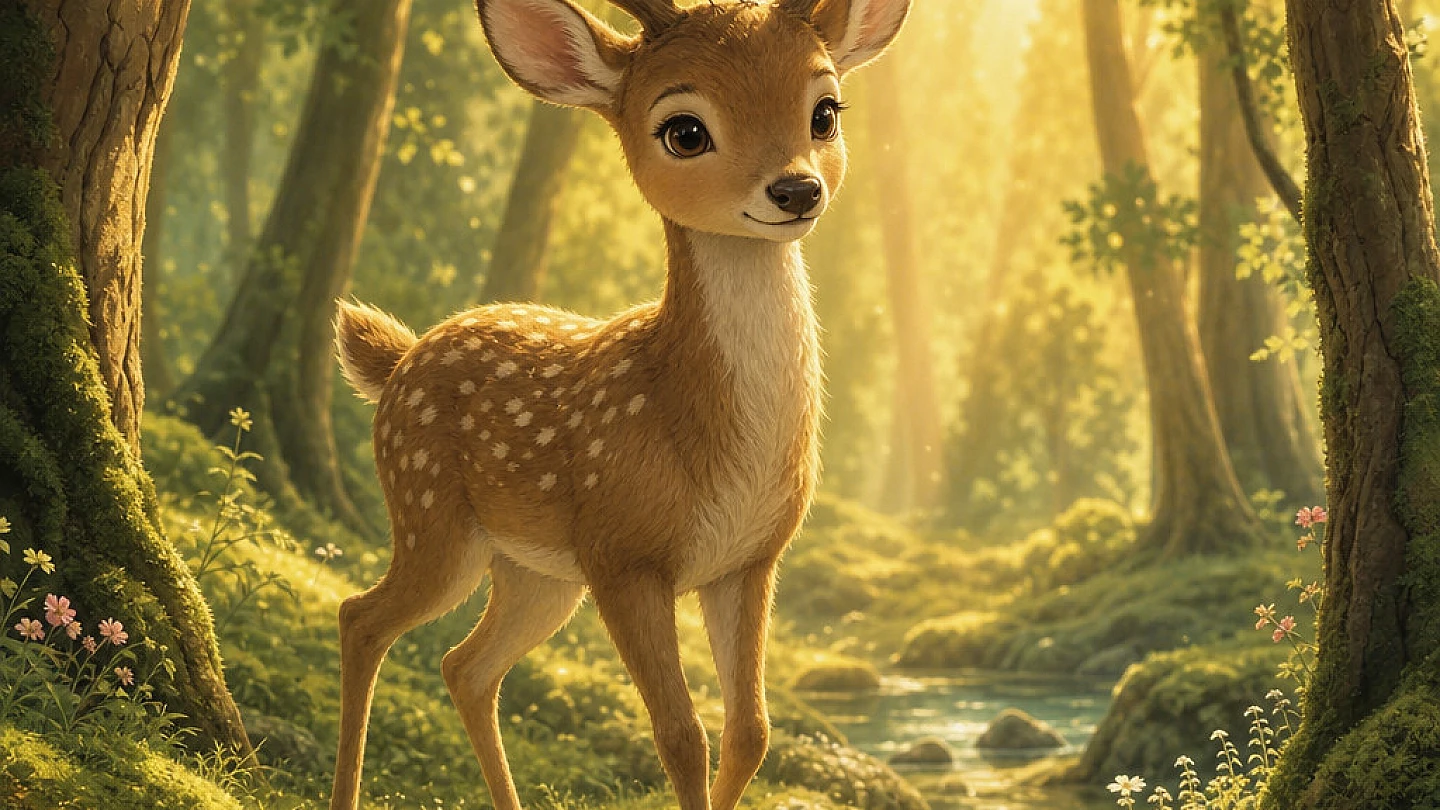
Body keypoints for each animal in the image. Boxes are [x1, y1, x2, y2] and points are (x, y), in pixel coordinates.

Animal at [329, 1, 909, 808]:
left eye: (825, 112)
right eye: (684, 130)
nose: (796, 191)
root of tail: (400, 359)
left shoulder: (749, 561)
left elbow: (751, 734)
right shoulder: (623, 553)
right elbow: (681, 736)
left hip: (537, 573)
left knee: (465, 666)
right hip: (430, 514)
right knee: (361, 618)